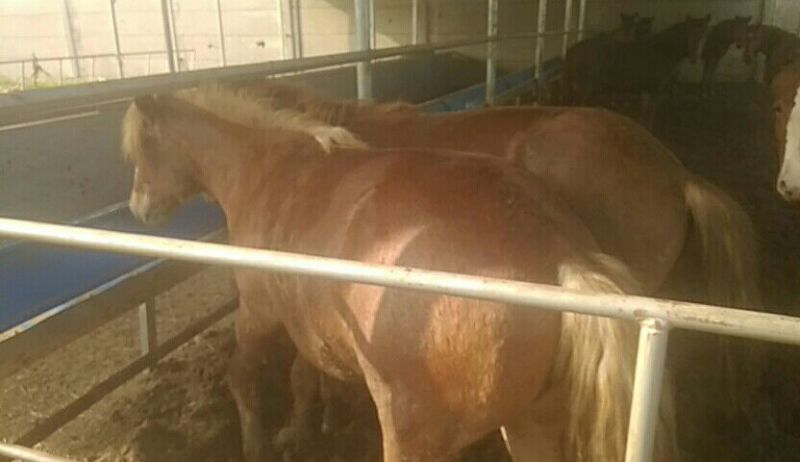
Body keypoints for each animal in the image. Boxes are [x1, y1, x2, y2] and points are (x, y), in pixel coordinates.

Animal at [120, 88, 679, 462]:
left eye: (140, 148)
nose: (138, 209)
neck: (270, 167)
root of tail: (563, 255)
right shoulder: (308, 323)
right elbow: (305, 378)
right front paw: (304, 430)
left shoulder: (259, 315)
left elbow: (244, 377)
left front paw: (259, 444)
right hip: (533, 421)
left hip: (413, 432)